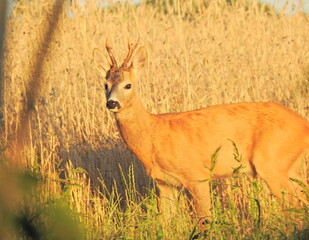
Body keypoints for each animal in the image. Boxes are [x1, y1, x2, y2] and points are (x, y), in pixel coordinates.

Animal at [103, 39, 308, 223]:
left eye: (128, 85)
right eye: (105, 85)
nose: (112, 103)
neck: (153, 133)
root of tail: (303, 123)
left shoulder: (197, 175)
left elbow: (204, 220)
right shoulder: (165, 183)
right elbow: (165, 222)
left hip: (271, 161)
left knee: (292, 208)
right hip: (289, 165)